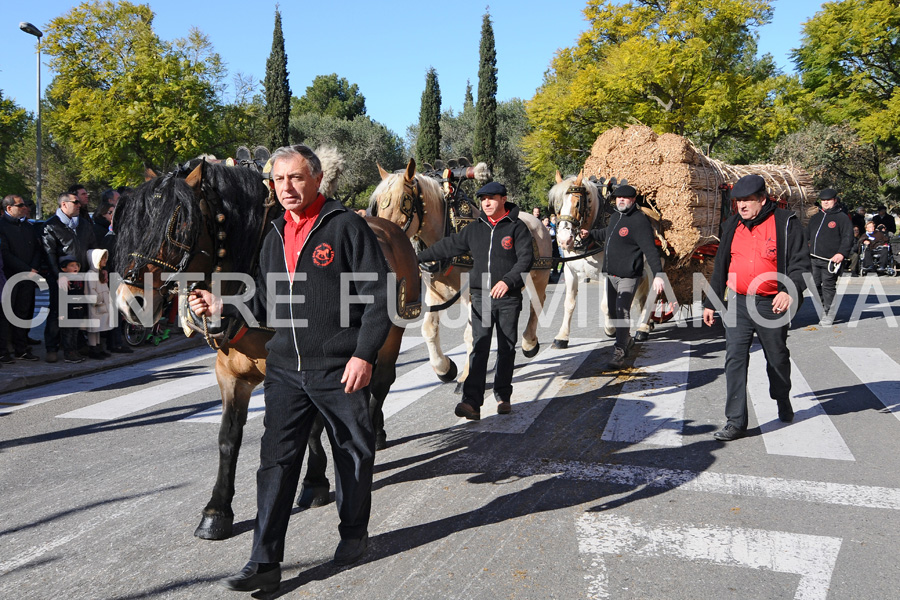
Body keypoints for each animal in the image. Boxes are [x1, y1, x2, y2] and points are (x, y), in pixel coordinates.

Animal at [114, 157, 420, 540]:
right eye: (132, 225)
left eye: (178, 226)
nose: (130, 303)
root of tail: (387, 227)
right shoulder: (231, 375)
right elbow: (228, 437)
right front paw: (217, 510)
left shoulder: (307, 365)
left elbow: (313, 426)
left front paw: (314, 481)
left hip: (390, 335)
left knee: (379, 384)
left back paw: (374, 435)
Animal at [544, 170, 656, 346]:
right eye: (557, 205)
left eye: (578, 203)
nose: (563, 240)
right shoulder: (570, 272)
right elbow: (569, 303)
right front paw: (562, 336)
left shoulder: (607, 274)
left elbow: (606, 305)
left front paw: (611, 329)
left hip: (651, 268)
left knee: (651, 295)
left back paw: (642, 329)